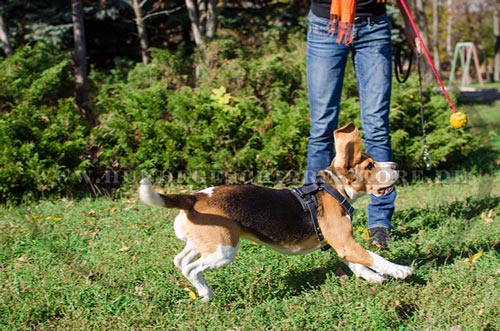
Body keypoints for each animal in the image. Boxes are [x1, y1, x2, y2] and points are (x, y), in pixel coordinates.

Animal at [139, 123, 412, 302]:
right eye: (370, 166)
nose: (396, 165)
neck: (334, 189)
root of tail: (194, 197)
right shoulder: (346, 243)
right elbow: (374, 257)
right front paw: (399, 270)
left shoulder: (343, 245)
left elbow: (359, 265)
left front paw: (375, 278)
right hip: (223, 250)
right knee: (192, 268)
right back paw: (206, 294)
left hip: (203, 243)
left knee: (181, 261)